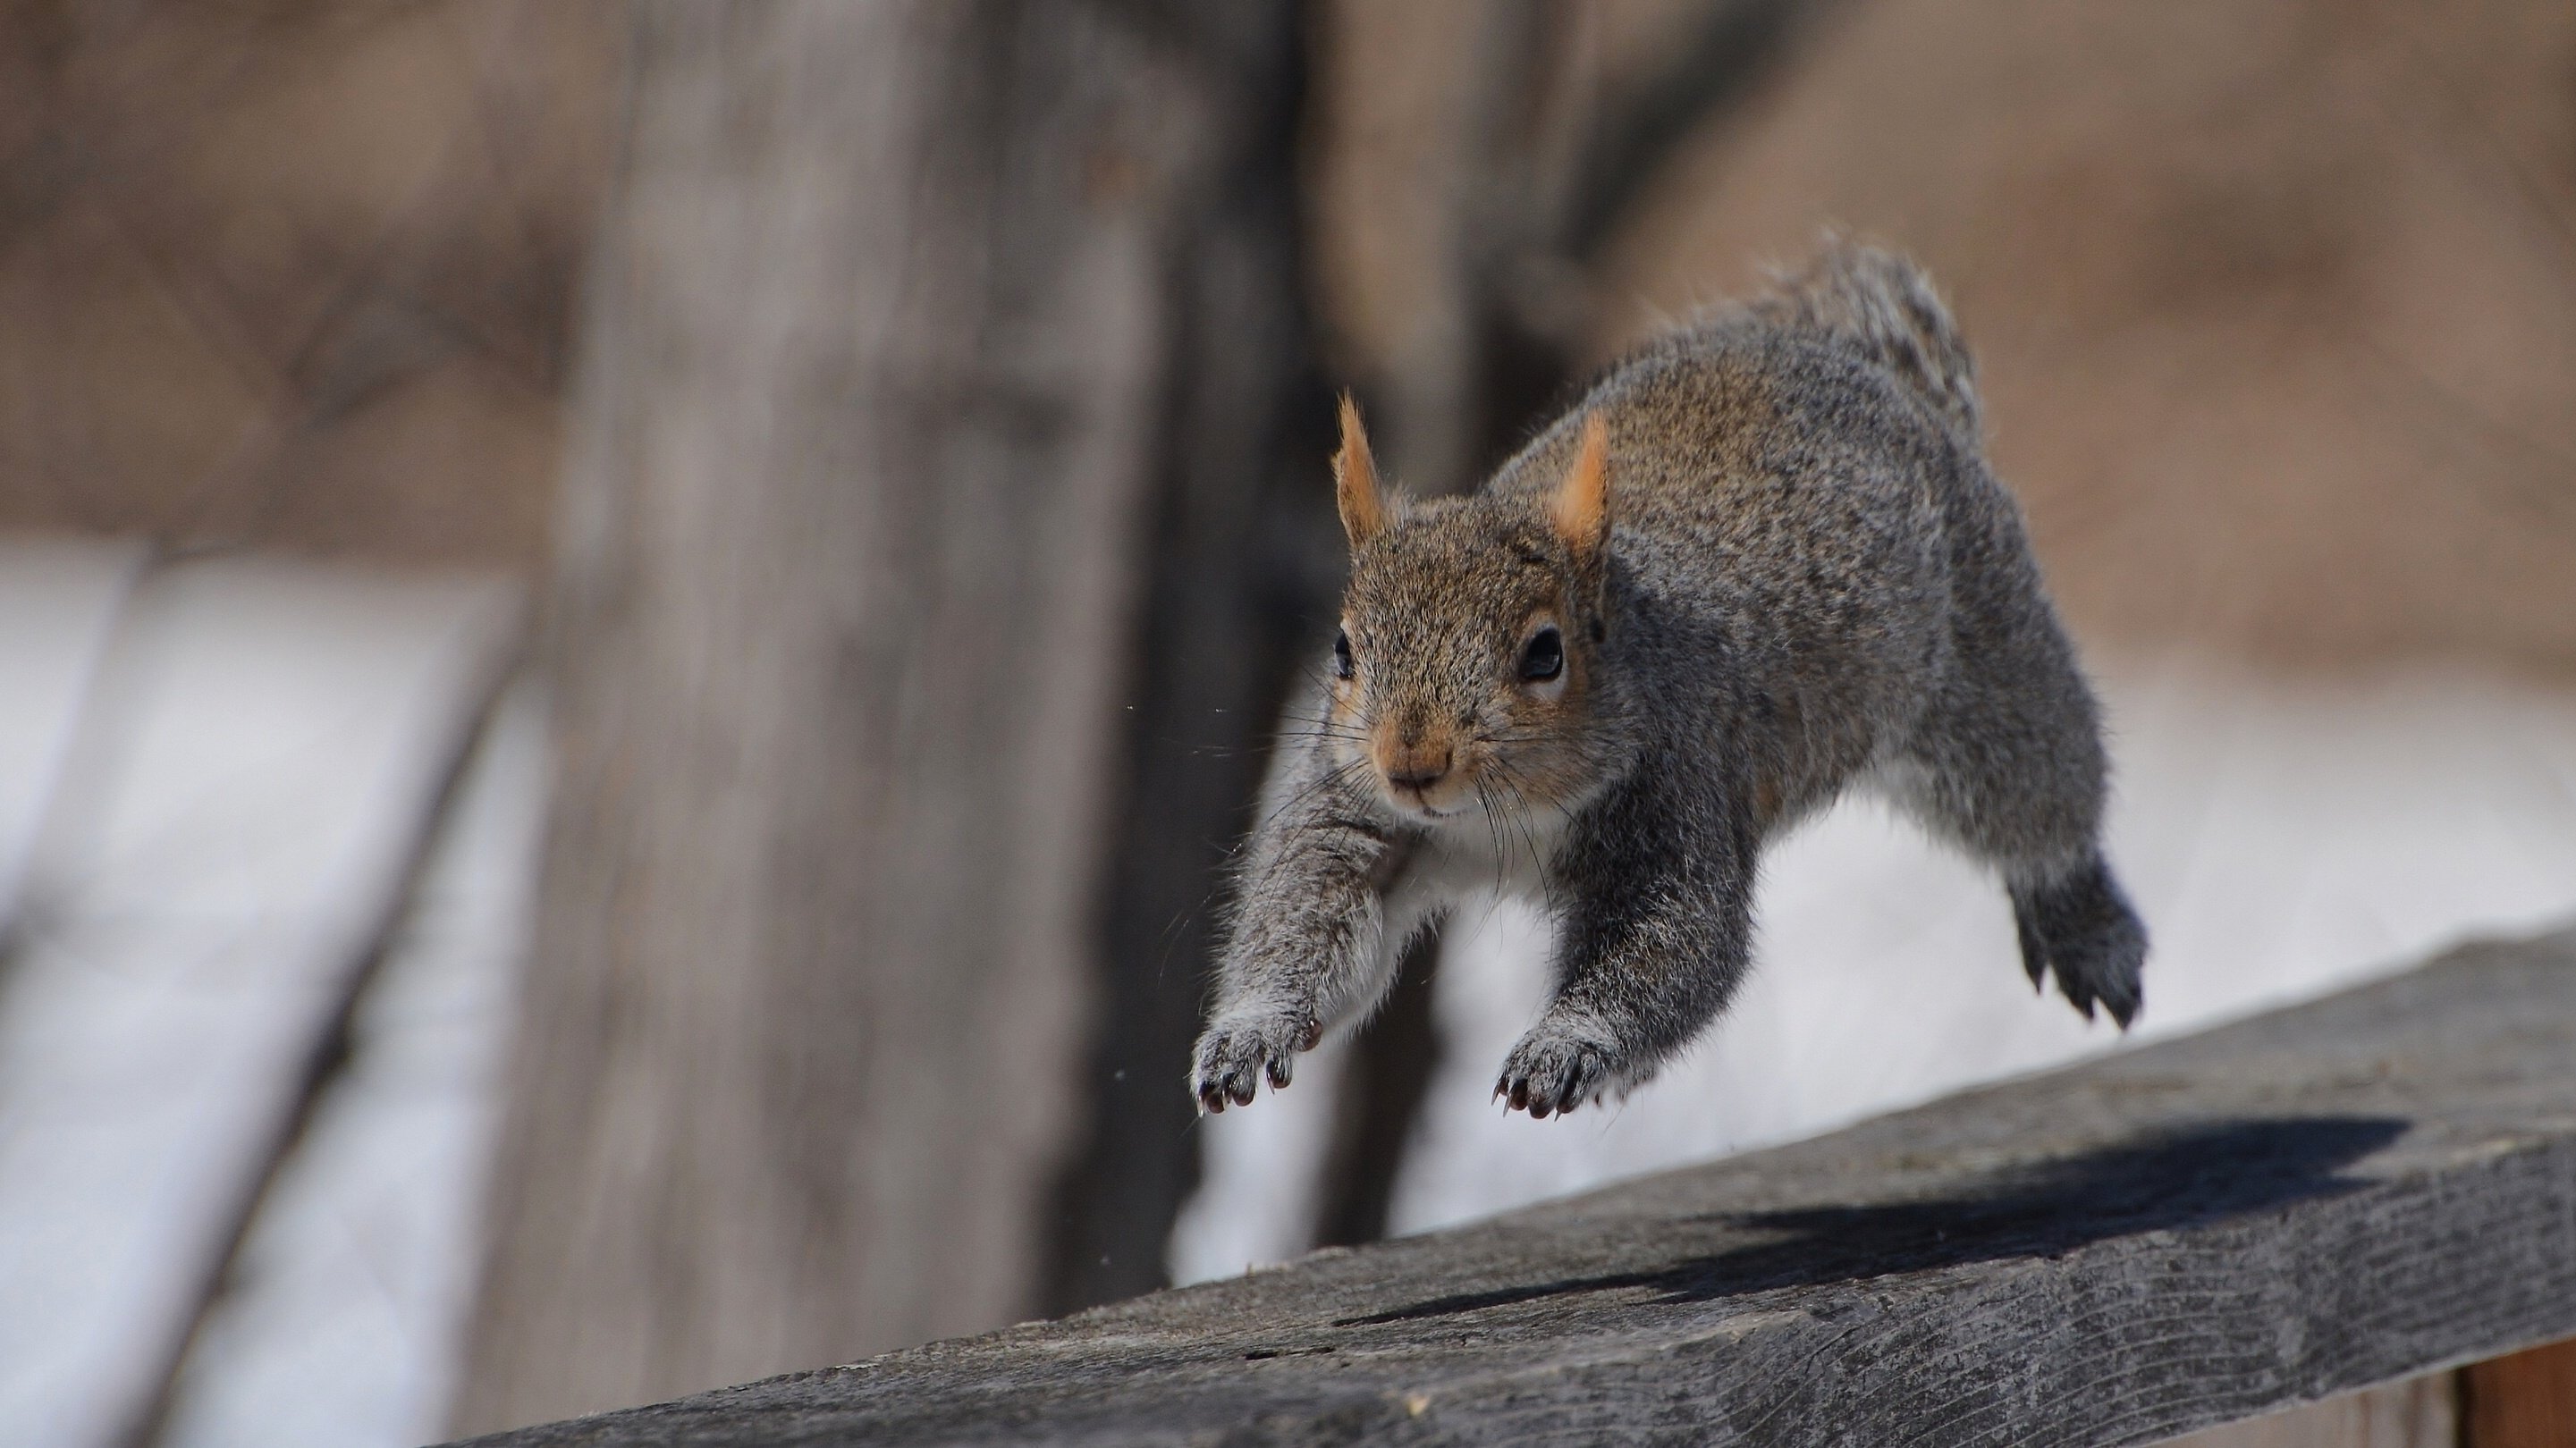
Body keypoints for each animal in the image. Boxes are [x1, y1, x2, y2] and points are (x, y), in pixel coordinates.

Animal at [1191, 238, 2148, 1120]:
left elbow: (1675, 949)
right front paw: (1249, 1030)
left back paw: (2086, 926)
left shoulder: (1676, 800)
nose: (1412, 766)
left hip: (1986, 677)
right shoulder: (1353, 816)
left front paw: (1565, 1047)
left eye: (1544, 653)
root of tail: (1873, 376)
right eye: (1343, 651)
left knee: (2041, 809)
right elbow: (1304, 916)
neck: (1501, 823)